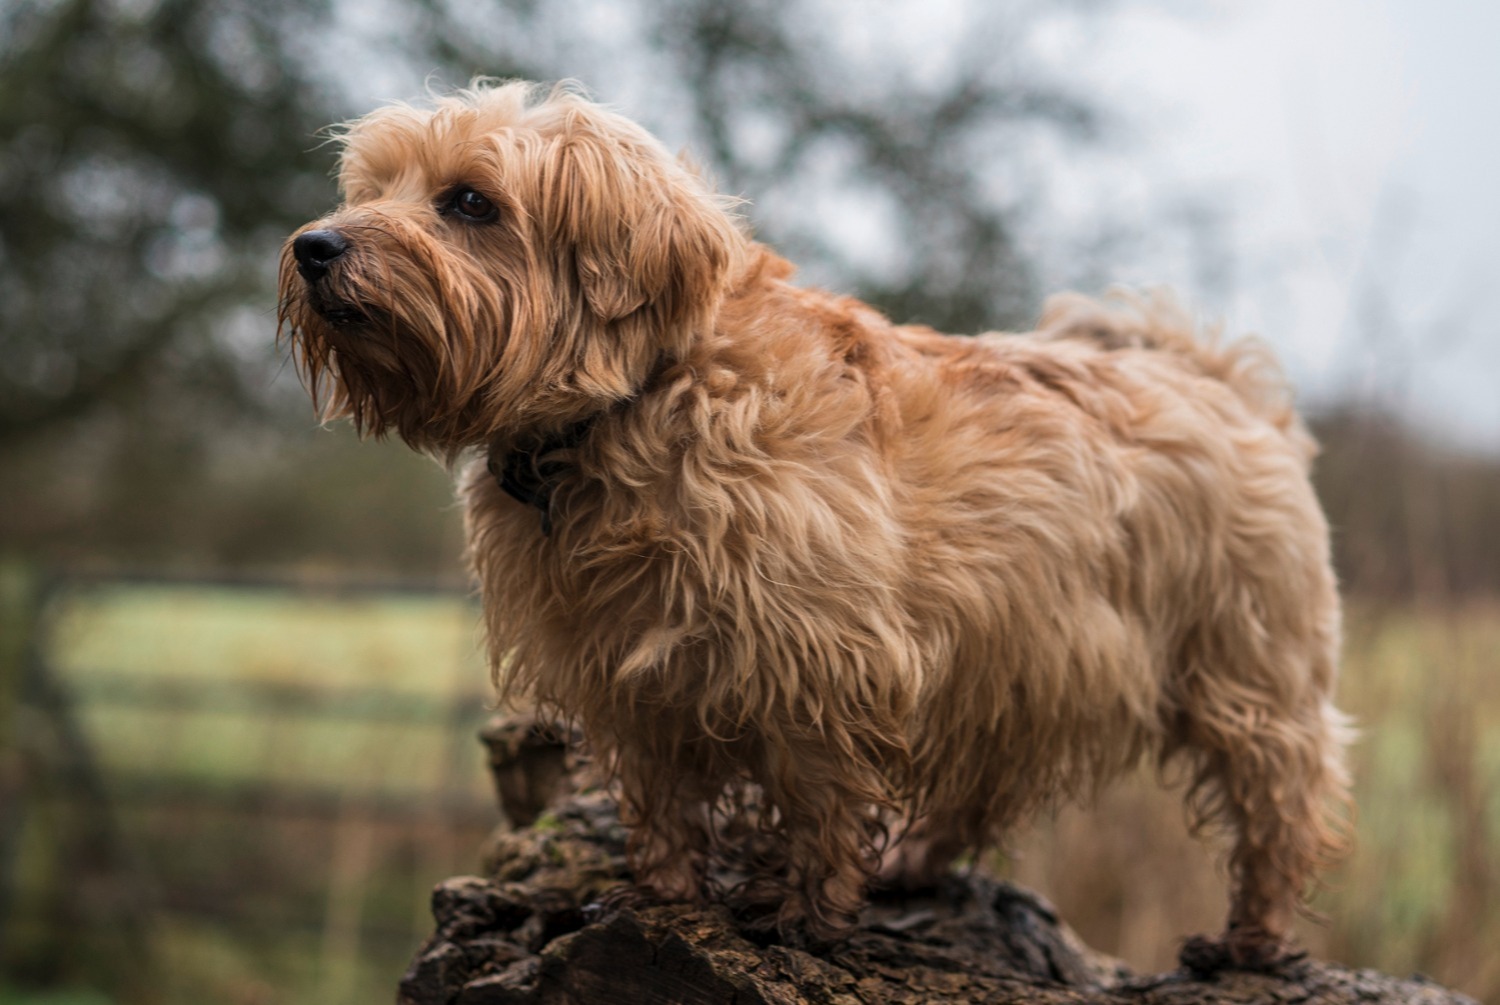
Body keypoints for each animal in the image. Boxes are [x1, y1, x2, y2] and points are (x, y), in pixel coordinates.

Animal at [276, 80, 1356, 966]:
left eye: (469, 202)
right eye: (373, 185)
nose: (314, 247)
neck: (634, 401)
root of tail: (1210, 375)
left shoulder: (825, 659)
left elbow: (819, 793)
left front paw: (801, 911)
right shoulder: (627, 671)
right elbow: (662, 795)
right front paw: (663, 891)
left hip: (1243, 667)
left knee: (1284, 797)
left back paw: (1252, 936)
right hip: (1023, 655)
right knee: (987, 782)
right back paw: (918, 859)